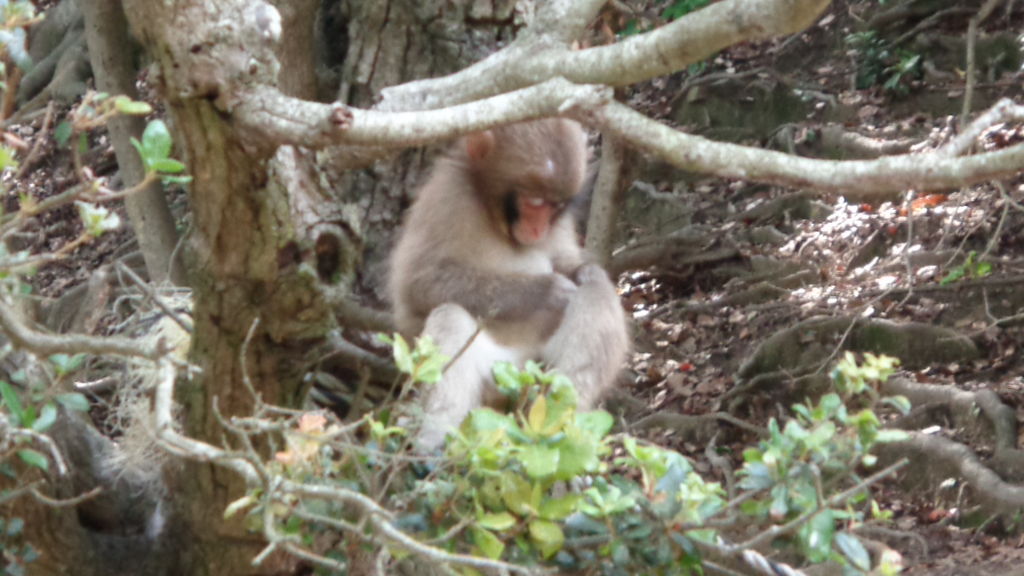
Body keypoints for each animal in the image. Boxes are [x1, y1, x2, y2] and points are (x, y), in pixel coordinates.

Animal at [391, 116, 626, 448]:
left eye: (555, 206)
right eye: (534, 202)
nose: (539, 229)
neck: (494, 218)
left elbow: (570, 263)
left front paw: (584, 272)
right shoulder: (447, 200)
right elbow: (418, 285)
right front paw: (548, 291)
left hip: (534, 370)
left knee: (594, 292)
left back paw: (563, 417)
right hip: (501, 376)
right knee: (449, 316)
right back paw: (434, 438)